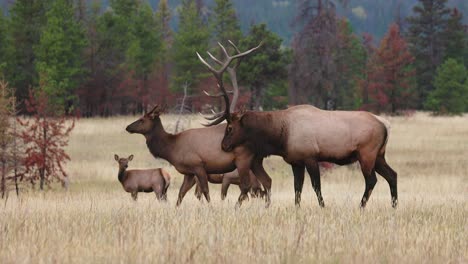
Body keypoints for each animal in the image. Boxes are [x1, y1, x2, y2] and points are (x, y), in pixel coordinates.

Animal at [125, 41, 274, 206]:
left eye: (142, 119)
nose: (128, 127)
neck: (172, 149)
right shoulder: (188, 172)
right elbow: (180, 194)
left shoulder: (198, 166)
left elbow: (205, 192)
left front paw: (211, 208)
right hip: (256, 160)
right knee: (267, 181)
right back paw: (267, 206)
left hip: (243, 159)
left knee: (247, 185)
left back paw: (237, 207)